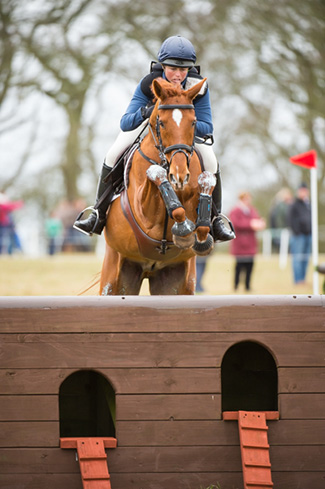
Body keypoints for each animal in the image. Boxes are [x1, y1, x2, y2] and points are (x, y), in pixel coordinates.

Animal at [98, 78, 215, 296]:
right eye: (161, 122)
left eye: (194, 122)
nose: (179, 175)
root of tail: (148, 269)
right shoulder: (144, 212)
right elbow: (156, 174)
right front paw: (183, 229)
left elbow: (207, 181)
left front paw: (199, 235)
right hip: (113, 278)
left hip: (176, 284)